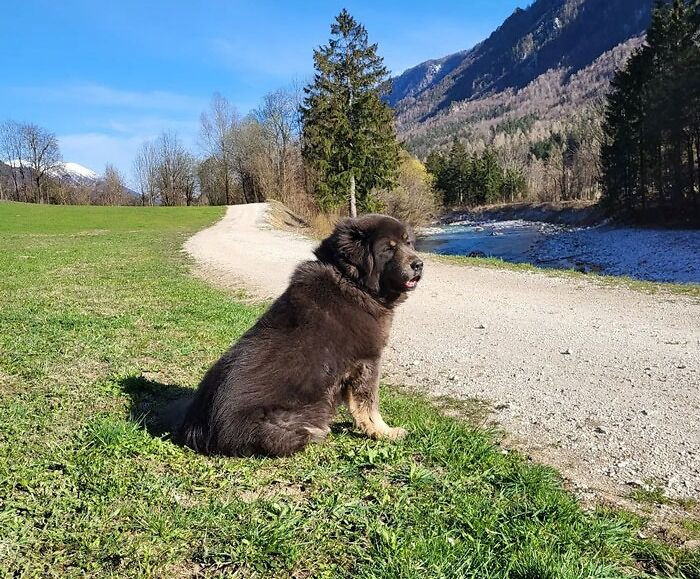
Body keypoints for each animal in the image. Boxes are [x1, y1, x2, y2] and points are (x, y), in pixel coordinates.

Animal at [172, 214, 424, 458]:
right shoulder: (367, 361)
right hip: (297, 418)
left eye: (408, 243)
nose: (419, 264)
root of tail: (201, 431)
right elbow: (369, 405)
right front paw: (384, 432)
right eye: (388, 248)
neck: (353, 282)